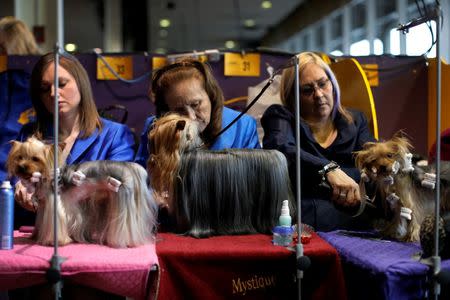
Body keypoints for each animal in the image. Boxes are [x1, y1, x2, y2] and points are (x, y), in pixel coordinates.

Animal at [6, 137, 158, 247]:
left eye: (35, 159)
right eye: (19, 157)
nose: (21, 167)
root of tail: (129, 167)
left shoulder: (55, 204)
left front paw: (55, 241)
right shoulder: (45, 205)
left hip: (123, 198)